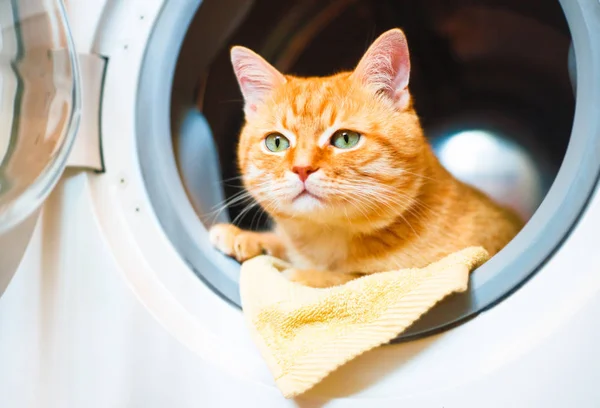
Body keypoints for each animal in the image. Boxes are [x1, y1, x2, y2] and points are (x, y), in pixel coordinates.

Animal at [209, 27, 524, 286]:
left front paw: (303, 274)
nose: (302, 168)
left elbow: (354, 277)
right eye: (276, 142)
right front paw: (248, 237)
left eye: (345, 139)